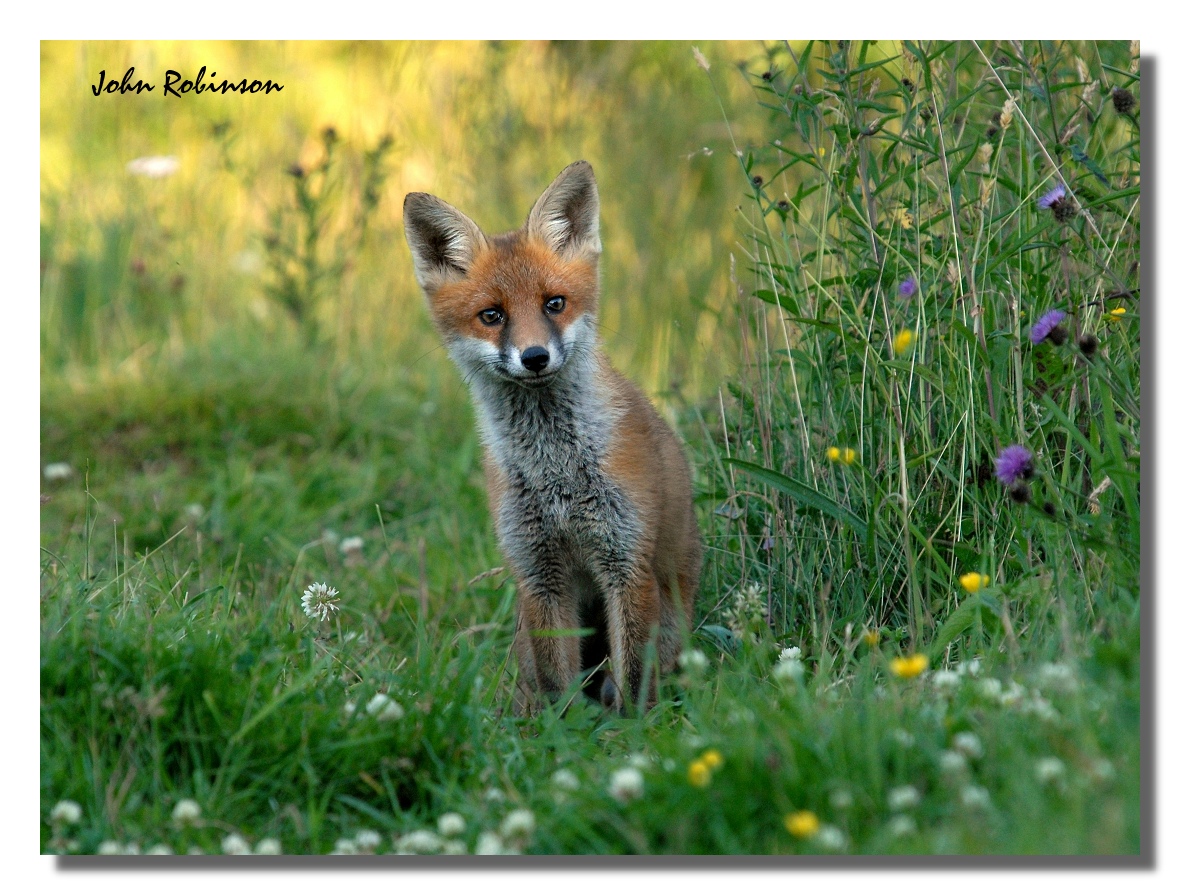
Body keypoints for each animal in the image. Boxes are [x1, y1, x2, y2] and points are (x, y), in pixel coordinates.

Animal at [403, 161, 701, 713]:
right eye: (492, 315)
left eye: (554, 304)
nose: (535, 357)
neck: (556, 469)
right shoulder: (538, 573)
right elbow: (558, 683)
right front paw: (562, 730)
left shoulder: (628, 560)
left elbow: (632, 682)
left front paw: (632, 731)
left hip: (672, 618)